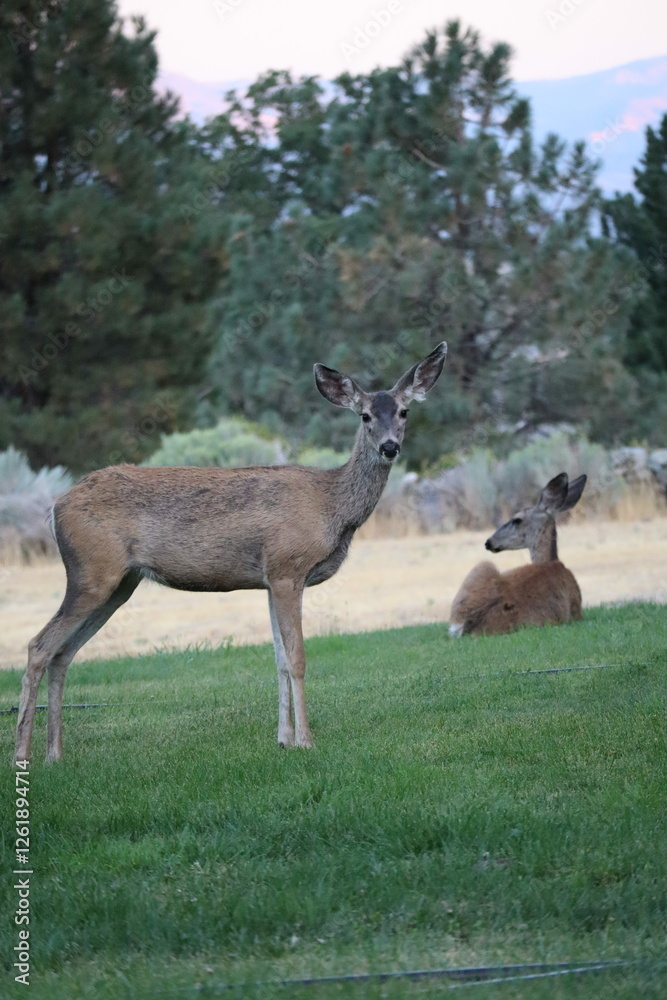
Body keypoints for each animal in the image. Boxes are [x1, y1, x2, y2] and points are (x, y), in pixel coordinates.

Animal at [11, 340, 448, 760]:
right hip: (92, 572)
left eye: (405, 411)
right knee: (38, 647)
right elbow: (298, 658)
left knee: (63, 654)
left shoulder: (271, 579)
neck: (331, 506)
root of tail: (55, 507)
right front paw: (306, 741)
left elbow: (279, 660)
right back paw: (23, 755)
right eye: (365, 416)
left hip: (119, 583)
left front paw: (283, 740)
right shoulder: (288, 567)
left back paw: (55, 754)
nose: (389, 447)